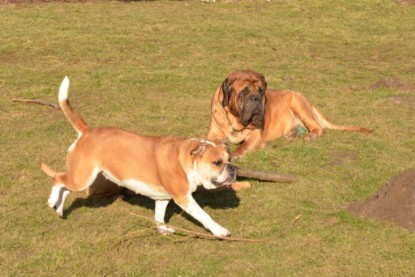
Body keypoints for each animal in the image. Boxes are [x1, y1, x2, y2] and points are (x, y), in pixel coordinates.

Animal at [208, 70, 374, 158]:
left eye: (261, 91)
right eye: (245, 91)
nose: (256, 98)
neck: (235, 121)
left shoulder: (255, 136)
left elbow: (244, 145)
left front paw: (235, 154)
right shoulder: (213, 134)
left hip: (295, 101)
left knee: (318, 127)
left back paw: (311, 136)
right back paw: (291, 135)